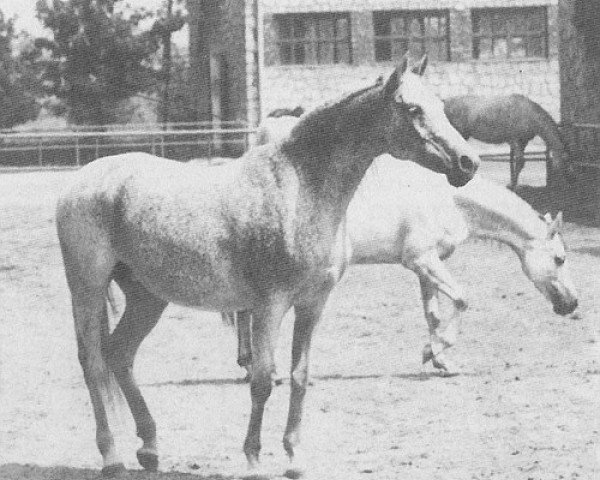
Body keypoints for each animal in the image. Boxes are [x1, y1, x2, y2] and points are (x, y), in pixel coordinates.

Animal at [55, 55, 478, 476]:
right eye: (413, 109)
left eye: (441, 105)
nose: (468, 163)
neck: (300, 189)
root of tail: (83, 180)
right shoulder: (268, 306)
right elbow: (261, 380)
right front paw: (254, 457)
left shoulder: (312, 305)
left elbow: (299, 376)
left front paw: (294, 457)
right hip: (87, 289)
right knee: (93, 363)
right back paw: (112, 456)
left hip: (147, 297)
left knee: (120, 355)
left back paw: (150, 449)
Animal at [442, 94, 576, 189]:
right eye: (566, 161)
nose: (572, 183)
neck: (529, 115)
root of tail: (444, 102)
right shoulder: (516, 141)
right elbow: (520, 162)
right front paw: (513, 186)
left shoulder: (523, 142)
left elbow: (519, 163)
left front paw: (514, 184)